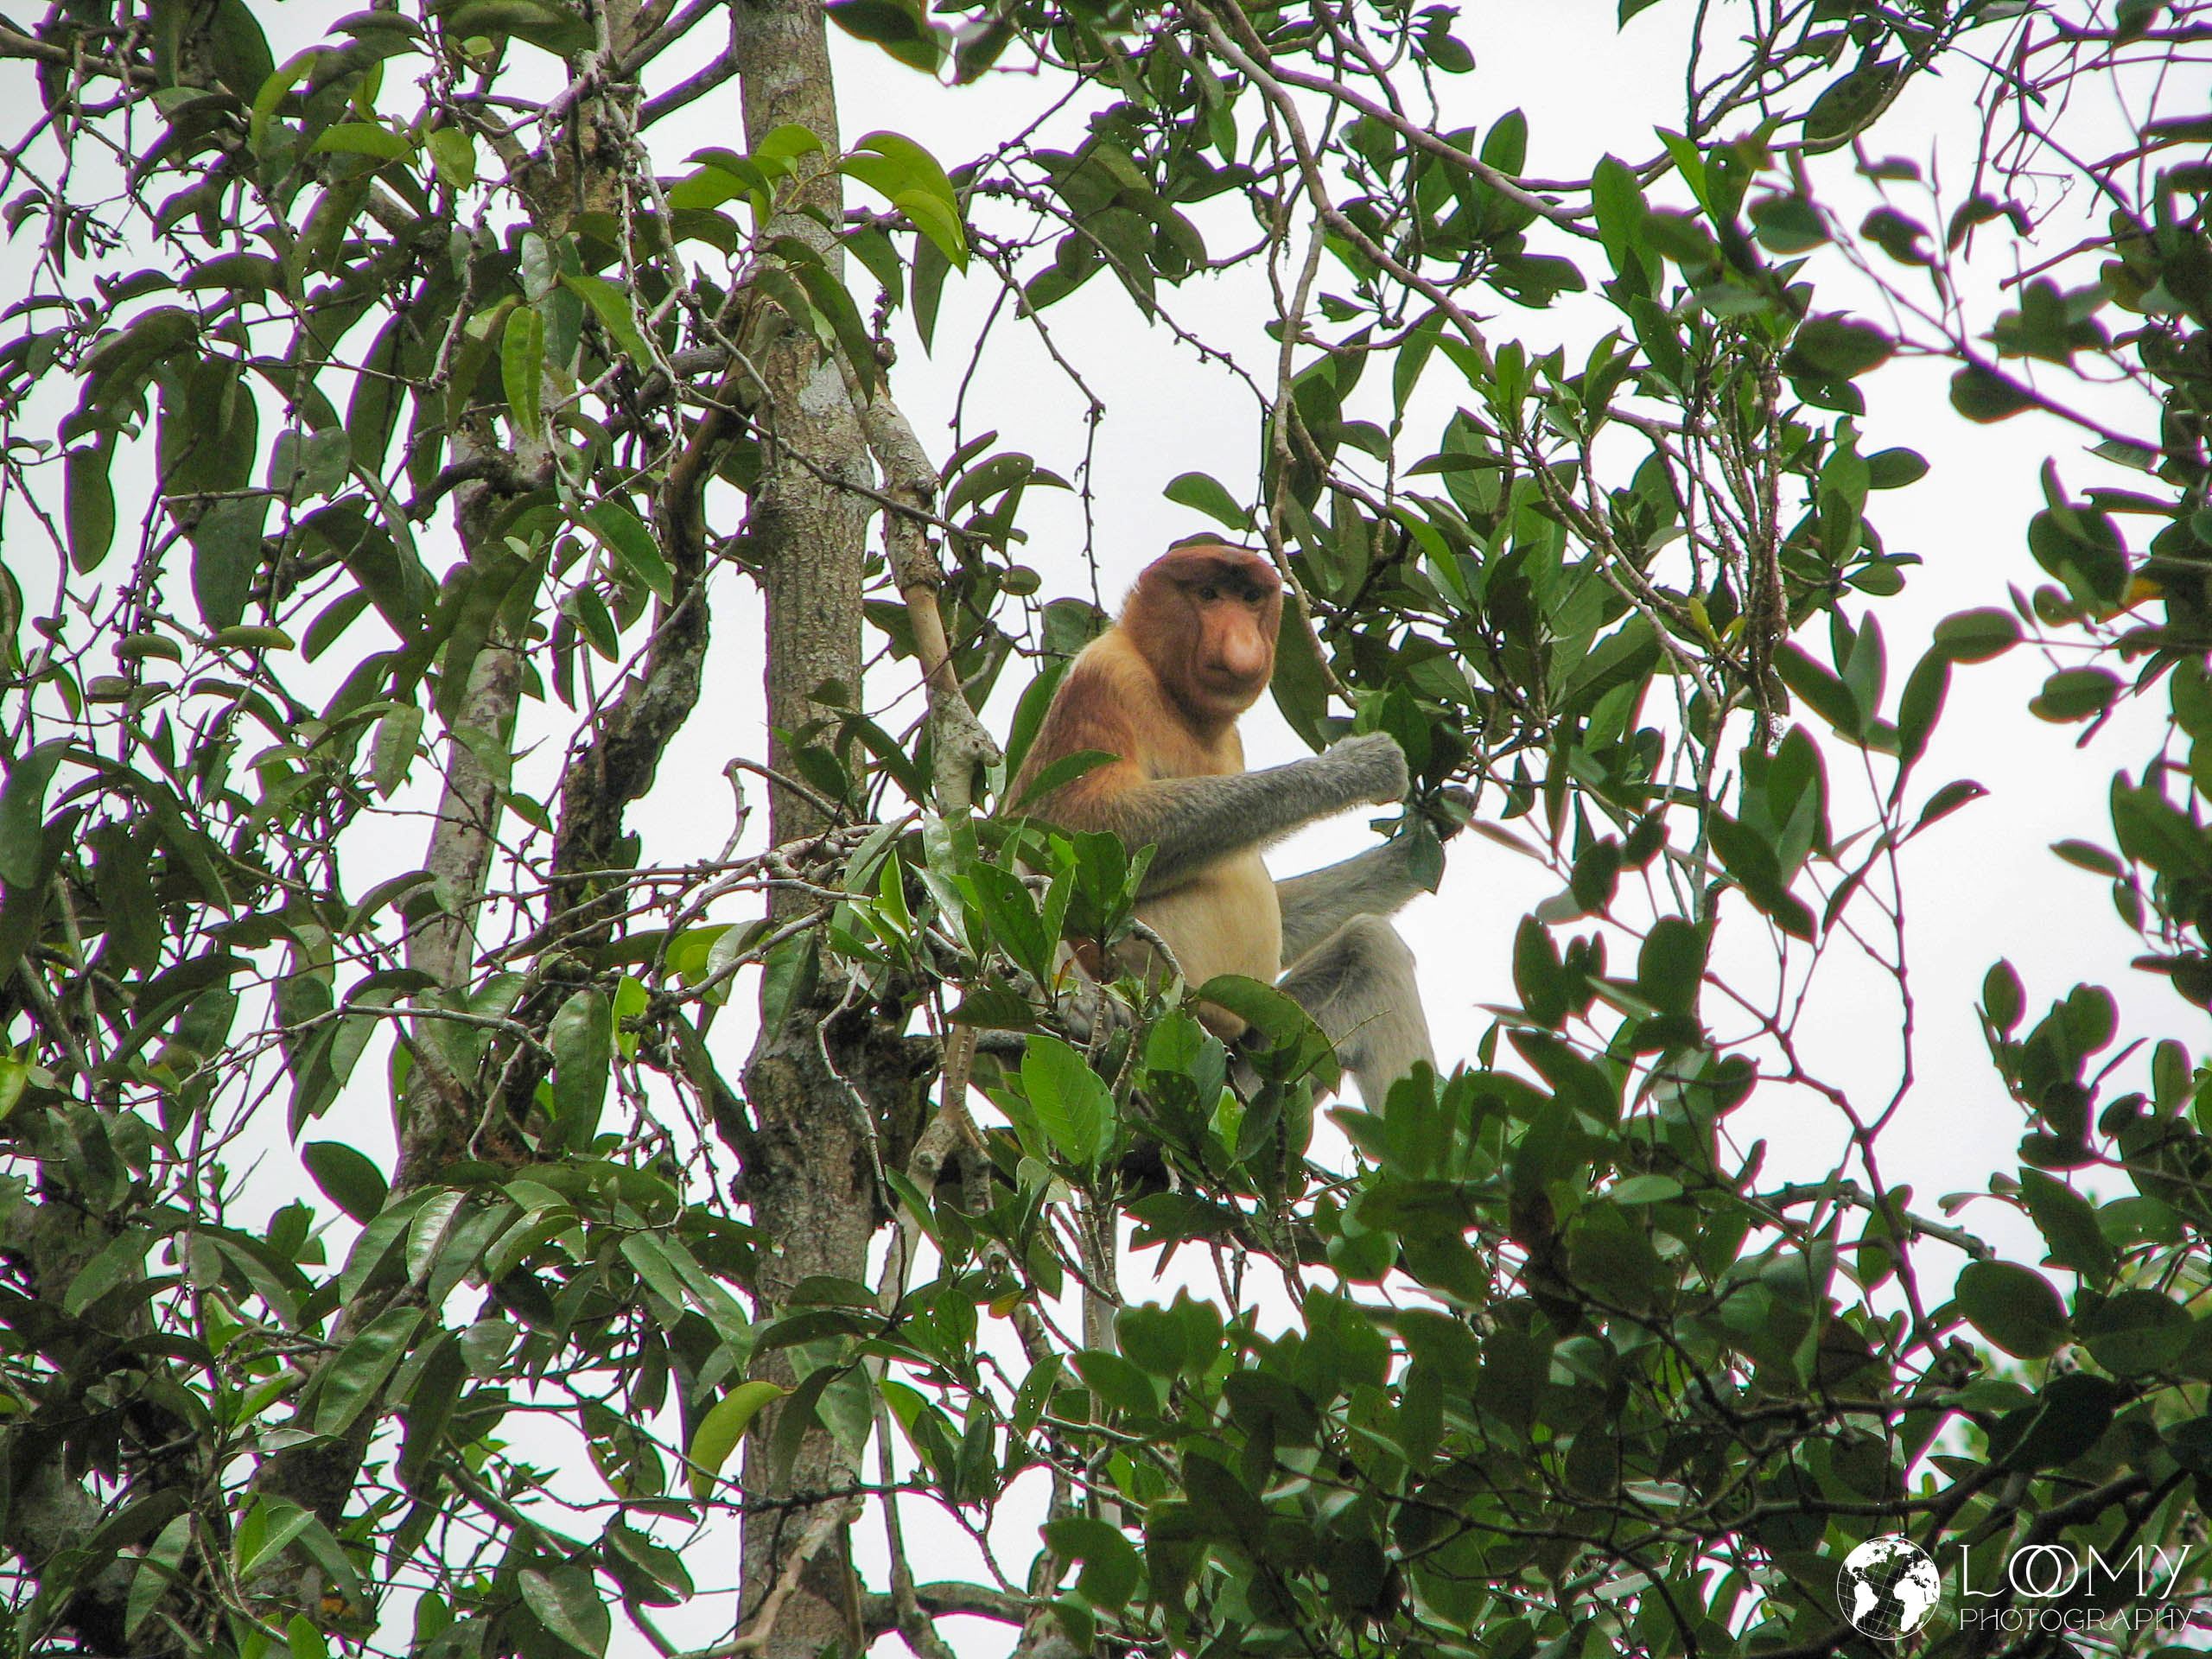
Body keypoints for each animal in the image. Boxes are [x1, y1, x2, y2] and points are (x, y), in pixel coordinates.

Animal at [1011, 541, 1442, 1107]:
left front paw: (1417, 846)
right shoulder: (1101, 680)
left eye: (1251, 597)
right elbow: (1075, 827)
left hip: (1266, 1064)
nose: (1242, 642)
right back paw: (1084, 1008)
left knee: (1370, 947)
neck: (1176, 698)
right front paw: (1359, 766)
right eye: (1209, 595)